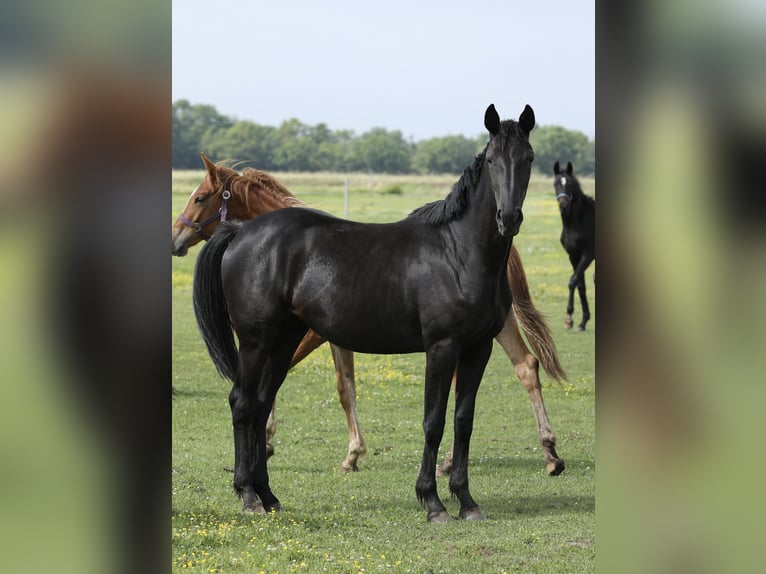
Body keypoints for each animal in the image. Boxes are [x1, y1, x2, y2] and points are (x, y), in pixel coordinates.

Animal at [194, 104, 536, 528]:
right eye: (491, 161)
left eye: (528, 159)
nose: (509, 218)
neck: (458, 253)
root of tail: (240, 233)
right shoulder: (442, 348)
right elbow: (434, 422)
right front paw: (433, 502)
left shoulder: (478, 348)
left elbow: (463, 420)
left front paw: (467, 501)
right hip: (256, 341)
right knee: (242, 404)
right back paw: (247, 496)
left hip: (284, 339)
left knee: (258, 405)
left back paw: (268, 496)